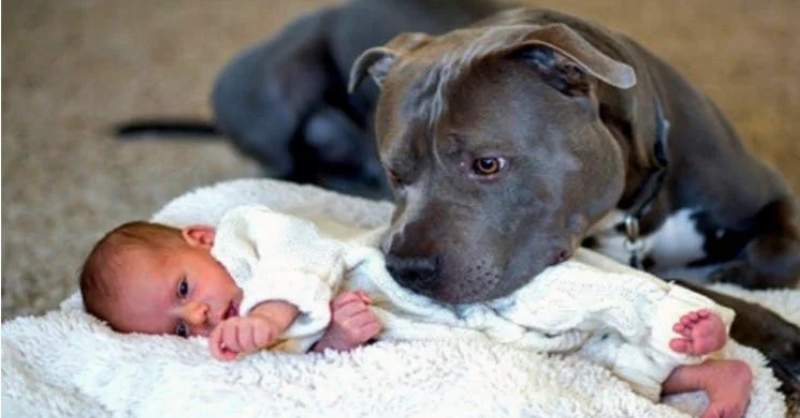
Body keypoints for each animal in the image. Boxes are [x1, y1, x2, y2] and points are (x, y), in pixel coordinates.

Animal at [349, 7, 800, 392]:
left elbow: (774, 256)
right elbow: (688, 287)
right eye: (395, 173)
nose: (406, 267)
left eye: (488, 164)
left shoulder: (774, 196)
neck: (636, 208)